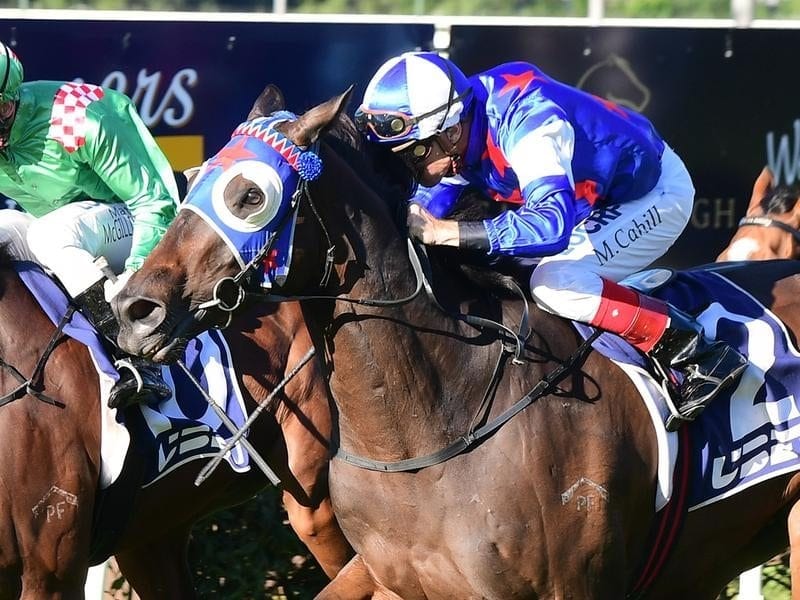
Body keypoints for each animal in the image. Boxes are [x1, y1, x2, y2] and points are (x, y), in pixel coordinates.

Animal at [114, 85, 800, 600]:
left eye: (251, 196)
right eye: (194, 180)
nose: (134, 309)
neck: (438, 425)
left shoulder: (574, 585)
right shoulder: (394, 578)